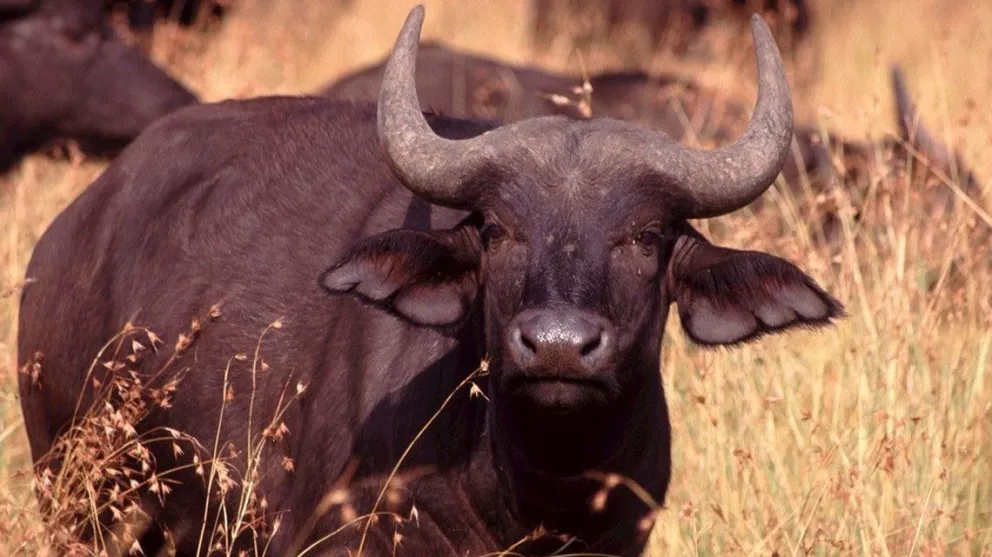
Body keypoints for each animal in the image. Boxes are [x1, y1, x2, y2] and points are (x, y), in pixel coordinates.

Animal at [19, 6, 842, 556]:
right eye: (499, 230)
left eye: (645, 237)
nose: (558, 347)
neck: (535, 493)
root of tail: (68, 235)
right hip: (78, 500)